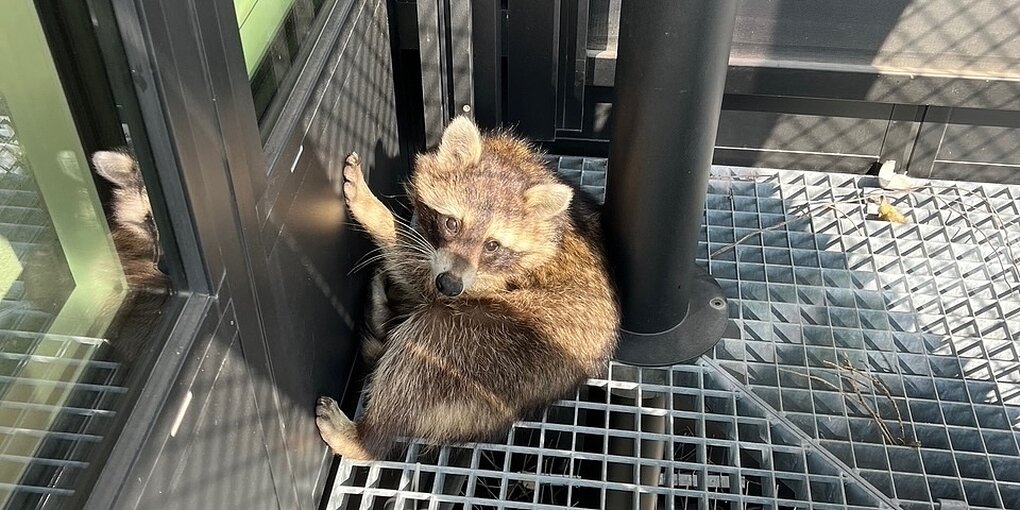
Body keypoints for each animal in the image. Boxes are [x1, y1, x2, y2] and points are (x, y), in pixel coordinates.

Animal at [316, 117, 620, 461]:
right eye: (452, 223)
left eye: (492, 245)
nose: (450, 284)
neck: (515, 162)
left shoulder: (496, 280)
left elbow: (421, 275)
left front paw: (372, 210)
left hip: (499, 343)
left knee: (428, 336)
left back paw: (365, 436)